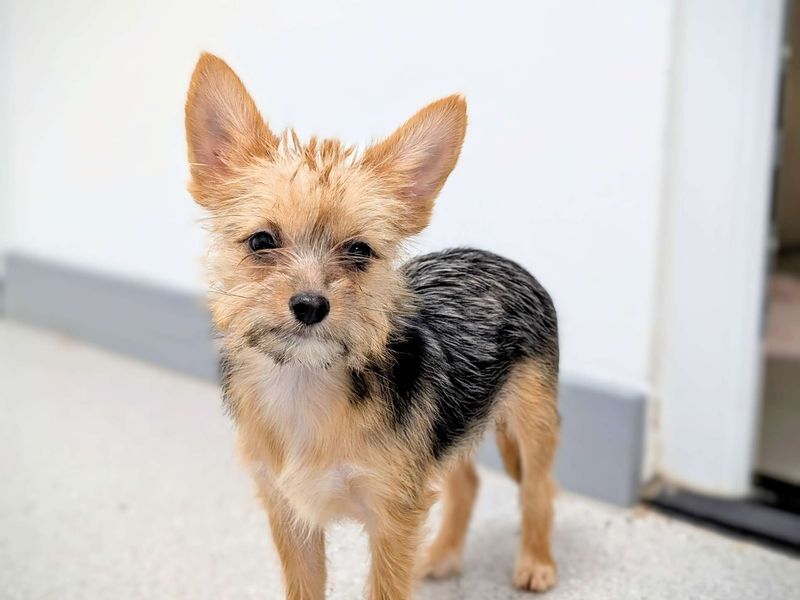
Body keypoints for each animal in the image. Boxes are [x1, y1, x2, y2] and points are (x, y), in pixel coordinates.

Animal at [184, 54, 560, 596]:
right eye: (261, 241)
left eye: (359, 251)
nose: (310, 305)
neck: (305, 383)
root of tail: (494, 259)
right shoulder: (291, 518)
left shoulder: (393, 518)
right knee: (466, 482)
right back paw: (443, 555)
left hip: (533, 422)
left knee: (539, 487)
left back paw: (536, 561)